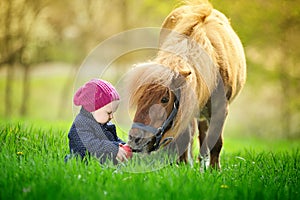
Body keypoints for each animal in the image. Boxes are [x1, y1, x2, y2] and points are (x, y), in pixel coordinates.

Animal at [126, 0, 246, 169]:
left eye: (164, 99)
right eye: (139, 99)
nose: (135, 140)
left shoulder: (220, 110)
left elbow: (216, 143)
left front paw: (214, 169)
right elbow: (185, 138)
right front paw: (183, 166)